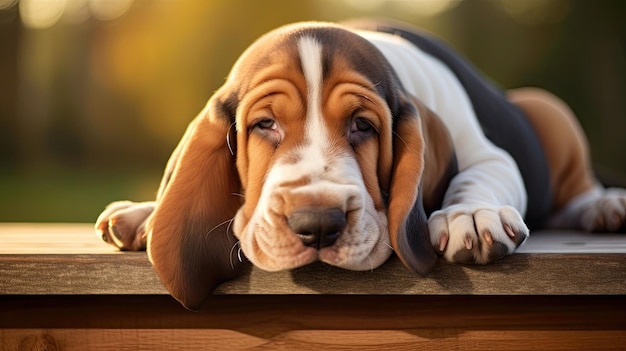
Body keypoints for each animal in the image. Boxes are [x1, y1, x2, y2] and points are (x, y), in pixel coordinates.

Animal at [94, 19, 624, 310]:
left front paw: (469, 216)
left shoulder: (492, 156)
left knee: (577, 191)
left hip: (548, 108)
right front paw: (145, 211)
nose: (316, 224)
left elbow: (480, 175)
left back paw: (605, 208)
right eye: (264, 124)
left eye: (363, 125)